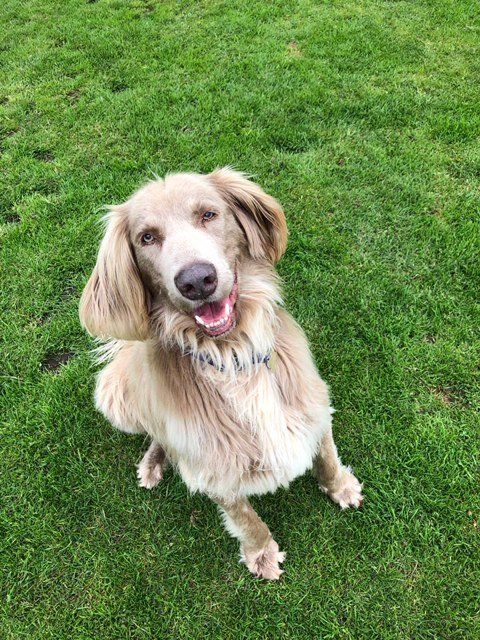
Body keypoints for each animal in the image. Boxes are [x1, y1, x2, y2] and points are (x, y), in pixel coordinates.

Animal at [79, 168, 364, 576]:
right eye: (147, 237)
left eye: (208, 215)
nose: (197, 280)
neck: (233, 354)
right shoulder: (216, 469)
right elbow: (246, 518)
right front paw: (261, 553)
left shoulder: (314, 405)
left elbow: (326, 457)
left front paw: (341, 487)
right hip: (115, 399)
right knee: (157, 433)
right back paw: (152, 464)